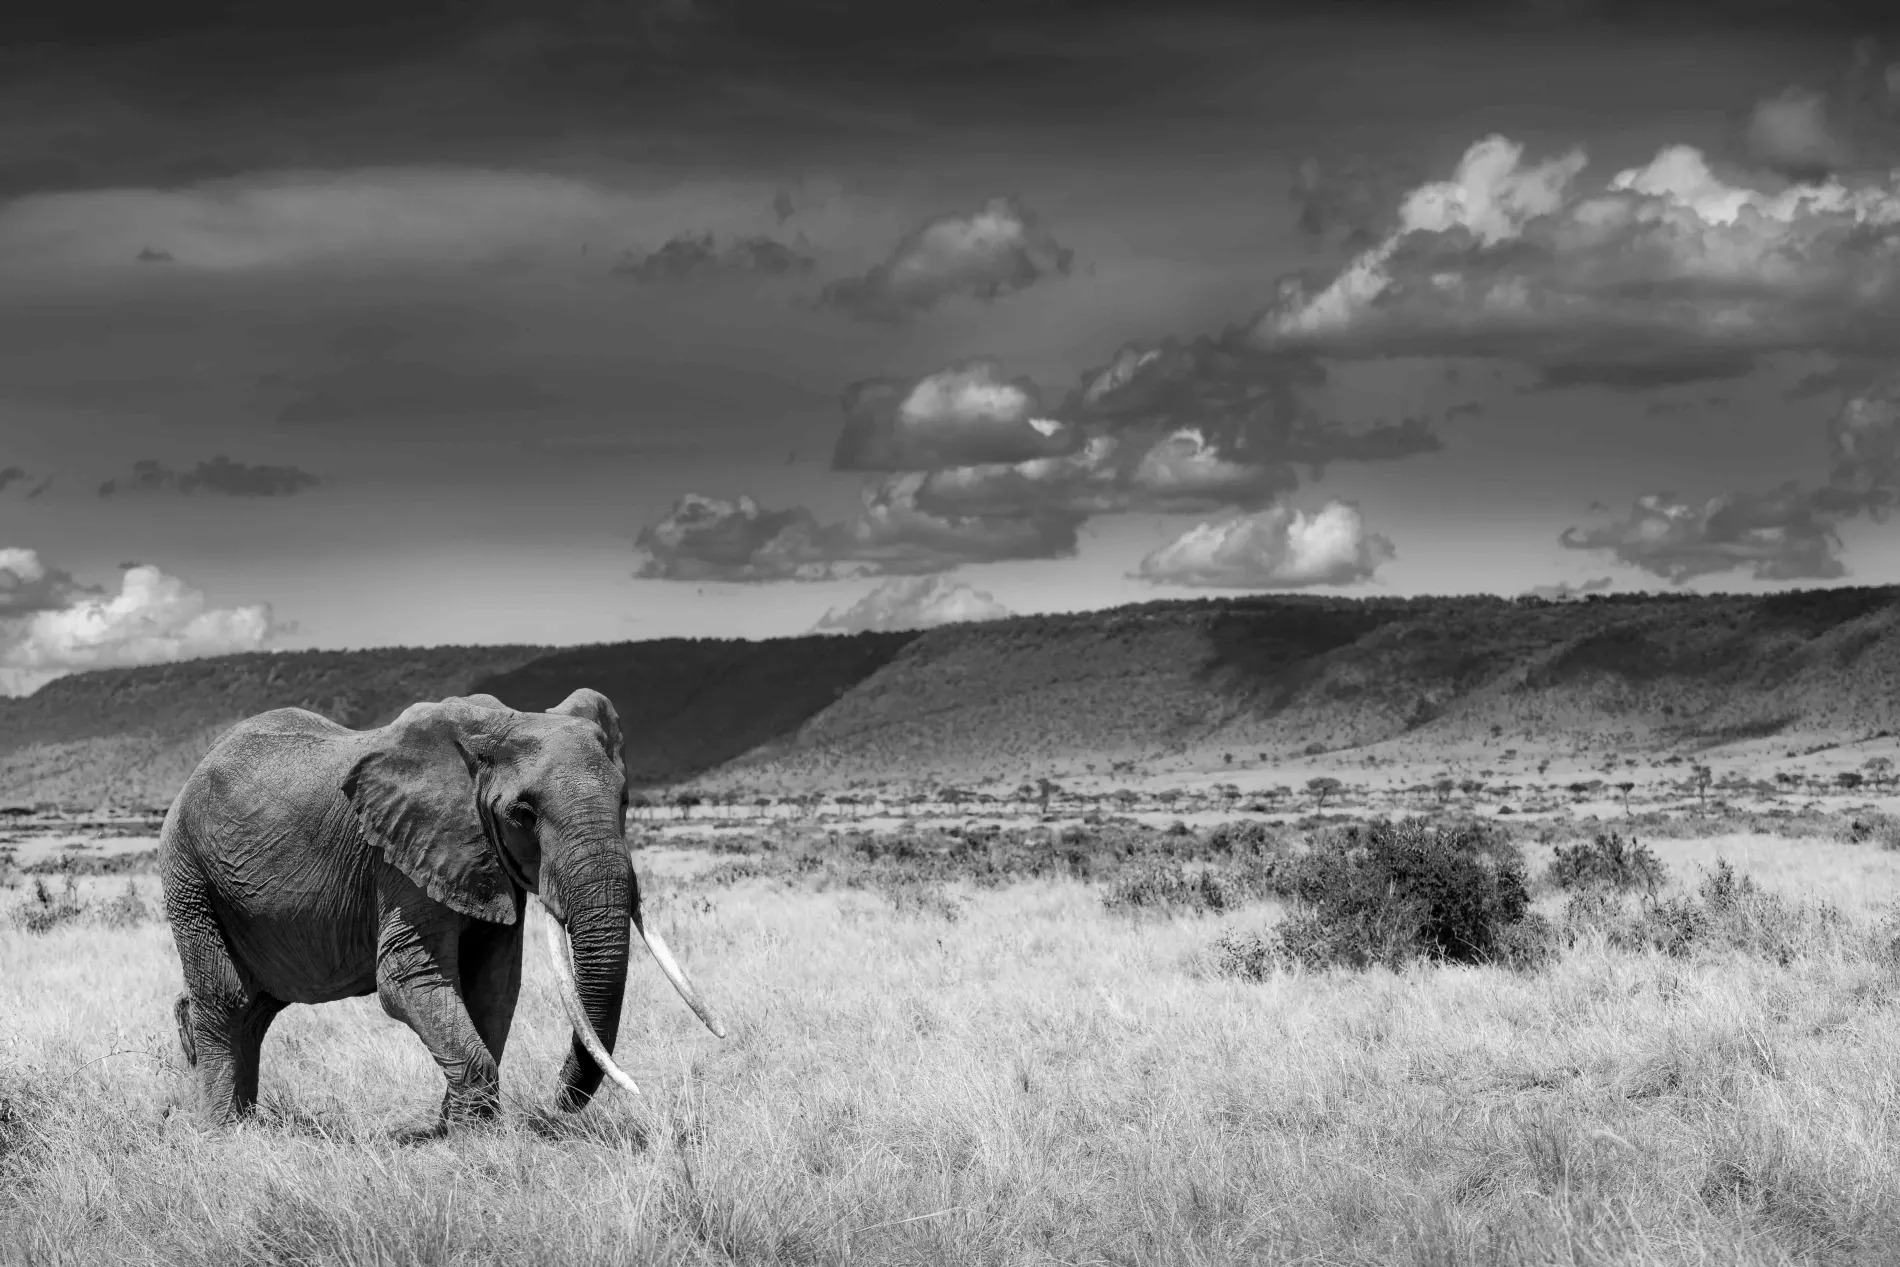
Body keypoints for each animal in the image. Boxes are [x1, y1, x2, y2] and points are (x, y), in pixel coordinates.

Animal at [153, 687, 718, 1132]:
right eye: (523, 813)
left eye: (625, 801)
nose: (554, 1104)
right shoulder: (401, 859)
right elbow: (409, 978)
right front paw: (476, 1137)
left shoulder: (486, 863)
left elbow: (494, 982)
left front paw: (456, 1128)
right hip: (188, 871)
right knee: (227, 997)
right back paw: (223, 1131)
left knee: (258, 1006)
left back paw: (245, 1119)